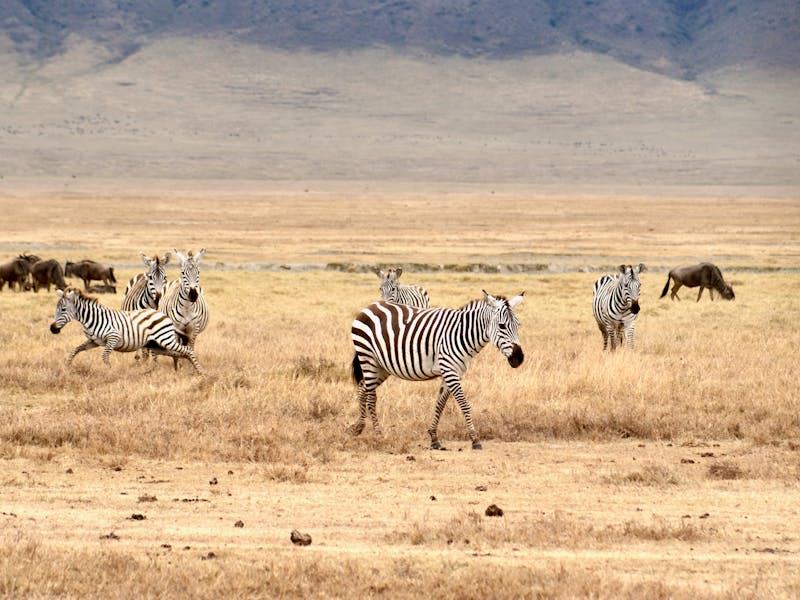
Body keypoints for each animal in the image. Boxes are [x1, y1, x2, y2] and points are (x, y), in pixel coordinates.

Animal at [49, 287, 203, 374]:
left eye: (63, 309)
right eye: (56, 309)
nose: (52, 329)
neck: (92, 319)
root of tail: (164, 315)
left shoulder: (113, 337)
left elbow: (105, 357)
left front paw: (111, 371)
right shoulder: (93, 341)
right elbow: (75, 350)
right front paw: (67, 367)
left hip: (165, 339)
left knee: (187, 350)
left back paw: (199, 372)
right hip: (156, 344)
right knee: (179, 353)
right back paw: (176, 370)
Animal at [350, 290, 525, 450]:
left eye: (518, 325)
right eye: (502, 326)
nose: (519, 358)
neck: (462, 334)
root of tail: (370, 306)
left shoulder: (454, 372)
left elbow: (440, 403)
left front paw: (434, 437)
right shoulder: (449, 370)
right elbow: (464, 404)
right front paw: (475, 439)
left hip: (382, 366)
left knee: (362, 387)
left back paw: (359, 427)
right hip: (368, 357)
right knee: (371, 397)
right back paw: (378, 434)